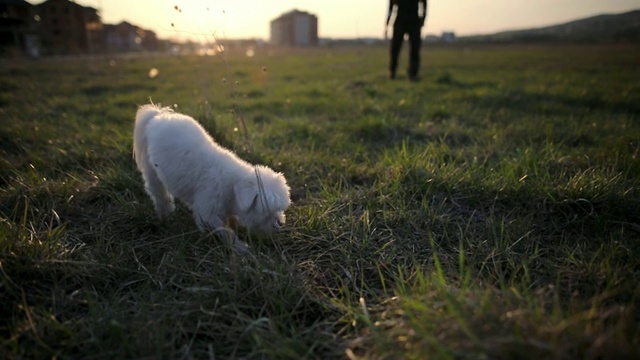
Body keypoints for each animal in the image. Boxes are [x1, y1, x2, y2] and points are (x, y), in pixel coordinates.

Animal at [134, 102, 292, 252]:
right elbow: (225, 232)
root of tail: (157, 114)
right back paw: (165, 214)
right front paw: (241, 248)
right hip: (151, 171)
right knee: (158, 192)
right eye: (267, 210)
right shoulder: (207, 212)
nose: (280, 223)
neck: (232, 186)